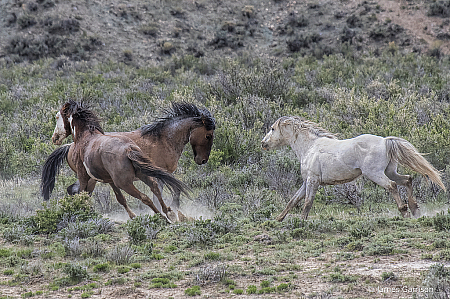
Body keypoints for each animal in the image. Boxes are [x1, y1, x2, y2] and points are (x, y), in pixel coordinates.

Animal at [42, 102, 216, 217]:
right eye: (208, 136)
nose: (202, 160)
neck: (163, 138)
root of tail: (69, 146)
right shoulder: (161, 173)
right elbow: (170, 191)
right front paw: (172, 210)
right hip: (91, 177)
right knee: (78, 191)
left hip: (93, 178)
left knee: (75, 190)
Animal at [260, 116, 446, 221]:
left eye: (272, 129)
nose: (263, 143)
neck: (310, 147)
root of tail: (385, 140)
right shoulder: (307, 181)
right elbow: (293, 200)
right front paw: (278, 219)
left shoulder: (313, 180)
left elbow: (307, 202)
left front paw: (302, 222)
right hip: (390, 171)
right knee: (407, 180)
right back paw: (414, 210)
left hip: (375, 173)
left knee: (392, 186)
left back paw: (404, 211)